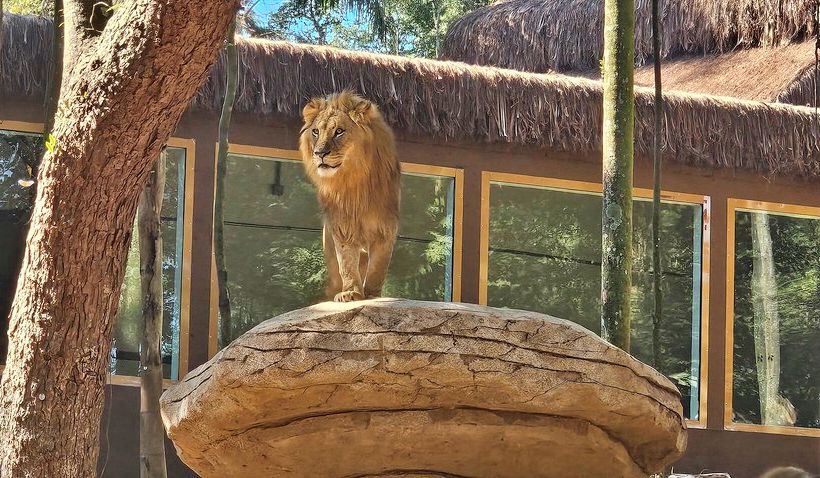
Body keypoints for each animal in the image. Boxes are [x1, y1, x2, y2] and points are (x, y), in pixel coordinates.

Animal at [299, 91, 401, 303]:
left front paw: (372, 295)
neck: (352, 179)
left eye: (339, 131)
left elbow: (377, 268)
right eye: (316, 132)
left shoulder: (386, 227)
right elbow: (346, 263)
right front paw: (351, 292)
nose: (319, 153)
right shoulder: (342, 227)